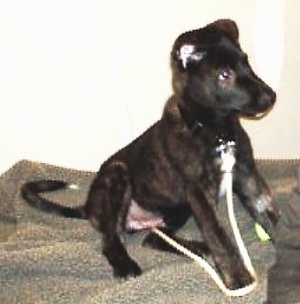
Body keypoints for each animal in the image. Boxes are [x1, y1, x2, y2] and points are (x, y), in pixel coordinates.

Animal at [22, 19, 280, 290]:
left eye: (246, 62)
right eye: (224, 75)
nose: (271, 97)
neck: (216, 132)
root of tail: (89, 206)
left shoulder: (248, 178)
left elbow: (272, 218)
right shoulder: (199, 193)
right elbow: (220, 237)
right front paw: (238, 279)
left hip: (179, 206)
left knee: (154, 239)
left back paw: (198, 248)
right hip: (118, 175)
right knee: (110, 239)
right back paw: (125, 265)